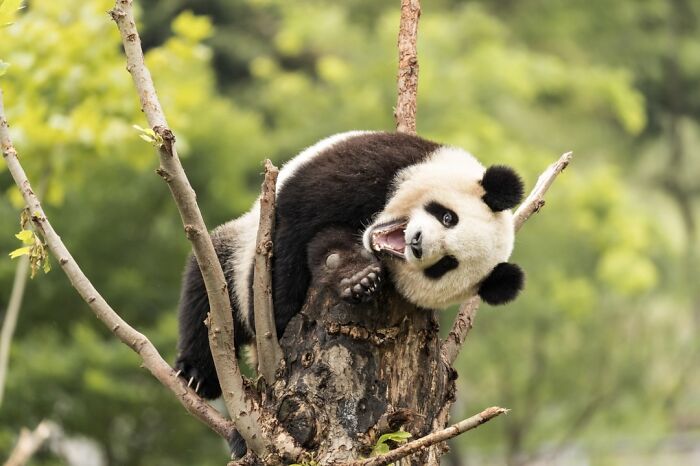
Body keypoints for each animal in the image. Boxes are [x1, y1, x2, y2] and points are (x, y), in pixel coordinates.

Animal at [175, 131, 525, 401]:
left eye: (445, 265)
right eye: (448, 217)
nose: (417, 243)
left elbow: (326, 244)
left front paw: (358, 277)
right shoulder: (379, 163)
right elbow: (295, 223)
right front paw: (283, 309)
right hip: (235, 250)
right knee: (206, 289)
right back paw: (197, 375)